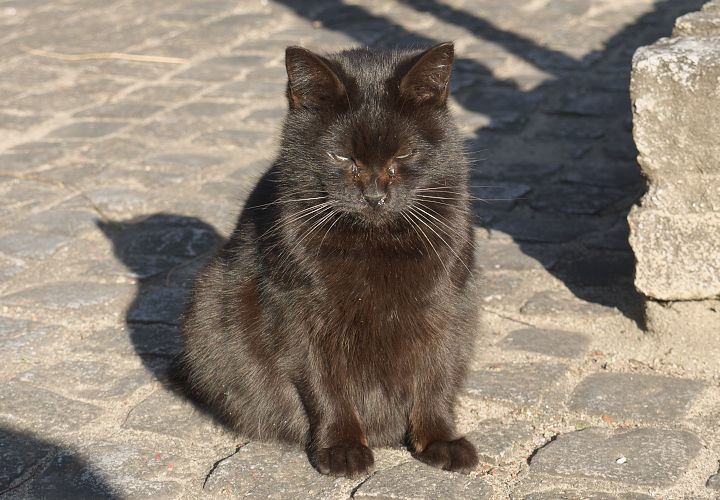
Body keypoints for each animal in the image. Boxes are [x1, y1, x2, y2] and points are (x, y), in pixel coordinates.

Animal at [178, 42, 478, 476]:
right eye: (341, 156)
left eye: (405, 152)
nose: (374, 196)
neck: (373, 242)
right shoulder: (302, 318)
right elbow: (326, 388)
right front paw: (342, 447)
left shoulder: (446, 308)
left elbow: (436, 374)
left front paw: (440, 438)